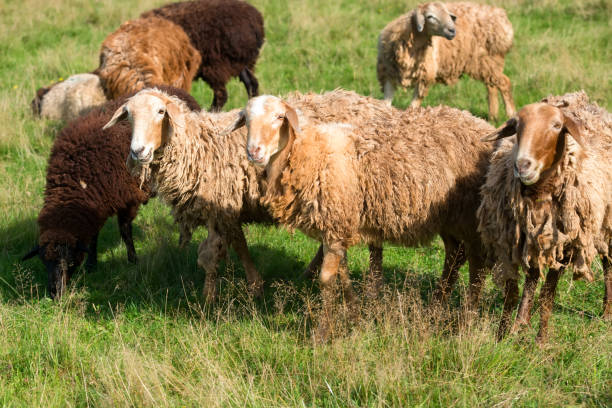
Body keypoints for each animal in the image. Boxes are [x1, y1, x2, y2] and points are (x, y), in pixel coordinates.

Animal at [22, 84, 201, 298]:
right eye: (45, 262)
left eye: (70, 261)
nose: (55, 294)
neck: (79, 176)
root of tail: (178, 92)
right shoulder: (95, 206)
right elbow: (93, 236)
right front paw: (92, 265)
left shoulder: (128, 198)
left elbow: (125, 231)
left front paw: (132, 259)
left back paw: (182, 245)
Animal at [227, 92, 500, 342]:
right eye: (247, 120)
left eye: (279, 117)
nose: (254, 151)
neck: (307, 152)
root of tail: (483, 126)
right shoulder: (338, 226)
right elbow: (343, 274)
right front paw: (355, 316)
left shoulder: (335, 223)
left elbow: (327, 280)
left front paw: (322, 333)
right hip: (448, 218)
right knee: (455, 255)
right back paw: (436, 307)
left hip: (469, 217)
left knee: (476, 265)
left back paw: (466, 320)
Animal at [378, 1, 516, 120]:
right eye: (430, 16)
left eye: (449, 16)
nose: (452, 31)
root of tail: (500, 18)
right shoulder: (388, 75)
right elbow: (386, 104)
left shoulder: (424, 78)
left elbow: (412, 107)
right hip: (487, 62)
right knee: (491, 86)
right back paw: (493, 116)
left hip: (486, 61)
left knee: (504, 82)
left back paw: (511, 114)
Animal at [478, 91, 612, 342]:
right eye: (517, 126)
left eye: (557, 126)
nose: (522, 165)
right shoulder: (519, 238)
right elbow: (518, 288)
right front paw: (505, 334)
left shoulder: (566, 244)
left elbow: (547, 296)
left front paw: (540, 341)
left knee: (608, 263)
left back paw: (608, 312)